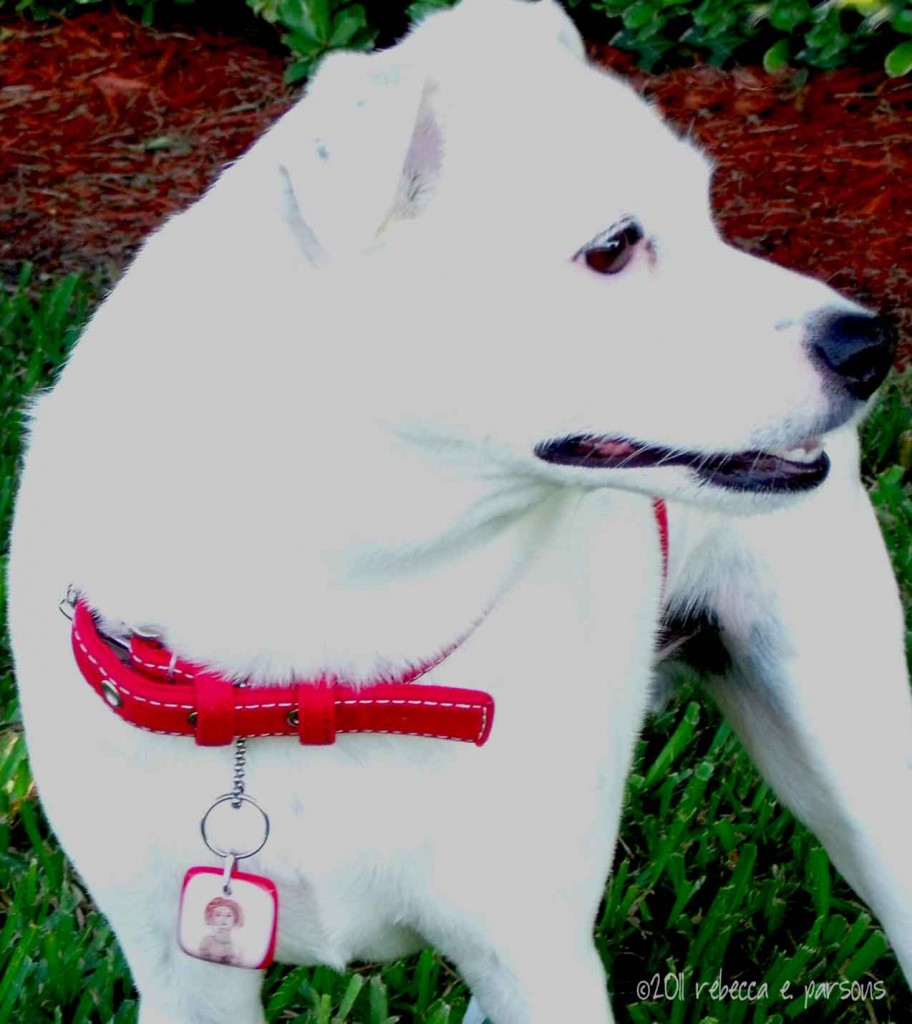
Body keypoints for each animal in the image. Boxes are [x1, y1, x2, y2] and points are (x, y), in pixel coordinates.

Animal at [8, 1, 910, 1021]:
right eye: (612, 246)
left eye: (708, 211)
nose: (870, 344)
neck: (324, 641)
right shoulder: (183, 973)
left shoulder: (536, 955)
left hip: (854, 770)